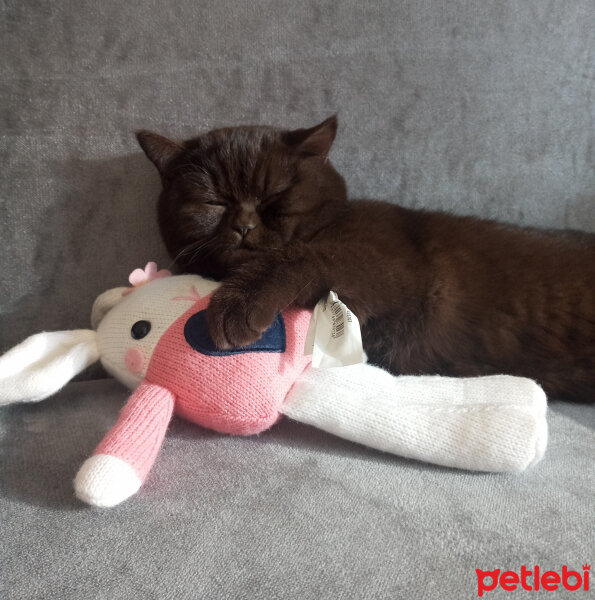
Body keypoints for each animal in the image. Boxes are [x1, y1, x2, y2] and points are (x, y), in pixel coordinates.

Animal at [136, 115, 595, 400]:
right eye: (212, 201)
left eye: (275, 196)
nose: (244, 226)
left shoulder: (386, 266)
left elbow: (303, 256)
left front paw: (236, 305)